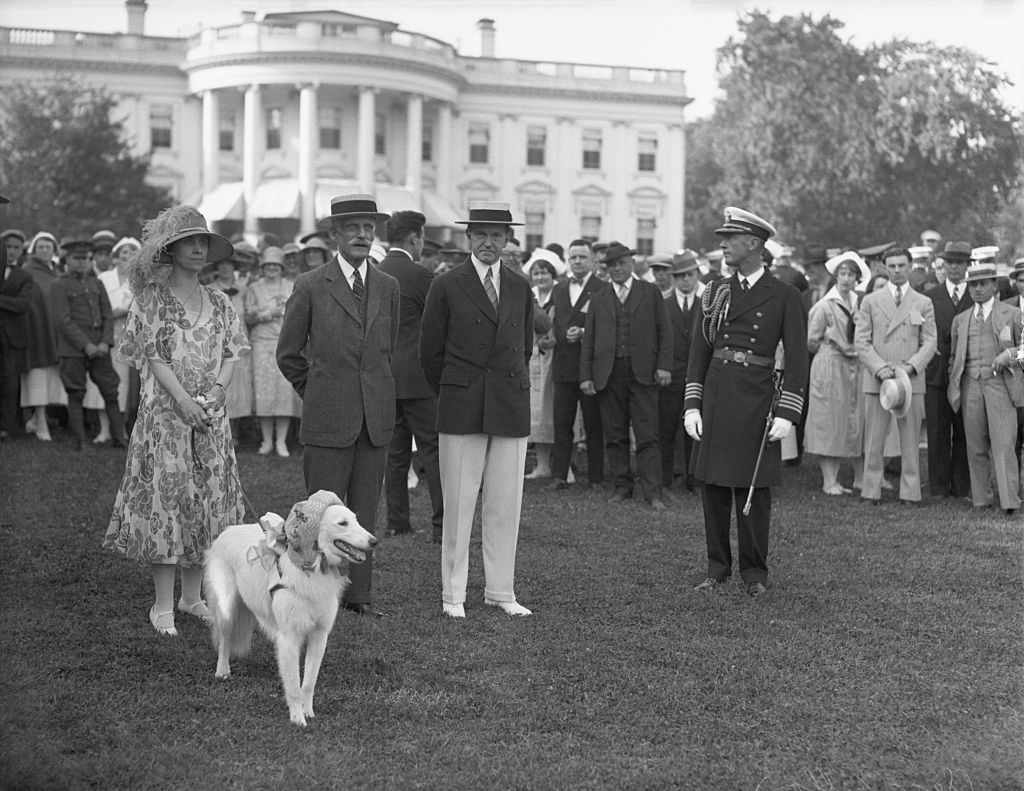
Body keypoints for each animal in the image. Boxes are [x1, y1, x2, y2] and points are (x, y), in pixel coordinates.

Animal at [203, 491, 376, 725]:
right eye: (342, 523)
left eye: (356, 520)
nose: (374, 542)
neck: (311, 568)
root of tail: (228, 530)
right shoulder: (289, 638)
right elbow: (293, 686)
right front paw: (297, 720)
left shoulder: (319, 636)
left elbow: (309, 682)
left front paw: (308, 711)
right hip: (226, 608)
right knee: (224, 642)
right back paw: (222, 671)